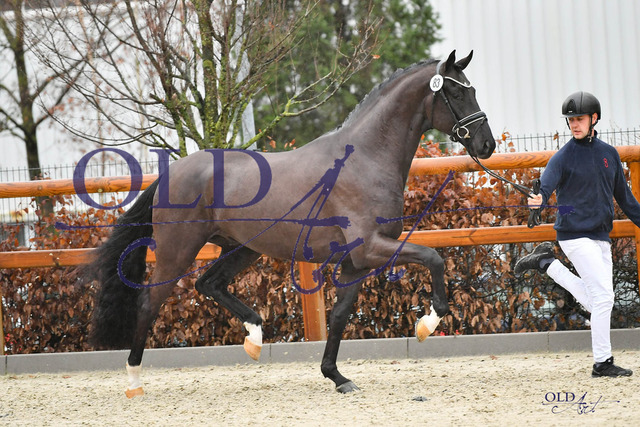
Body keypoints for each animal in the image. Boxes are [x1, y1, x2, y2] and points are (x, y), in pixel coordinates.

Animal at [85, 50, 496, 396]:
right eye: (456, 94)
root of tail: (172, 172)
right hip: (177, 253)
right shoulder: (371, 248)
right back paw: (134, 381)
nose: (487, 145)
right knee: (149, 304)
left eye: (472, 90)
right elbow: (433, 258)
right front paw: (428, 323)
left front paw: (337, 377)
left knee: (209, 284)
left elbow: (341, 316)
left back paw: (254, 337)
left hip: (242, 248)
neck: (364, 158)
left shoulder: (355, 263)